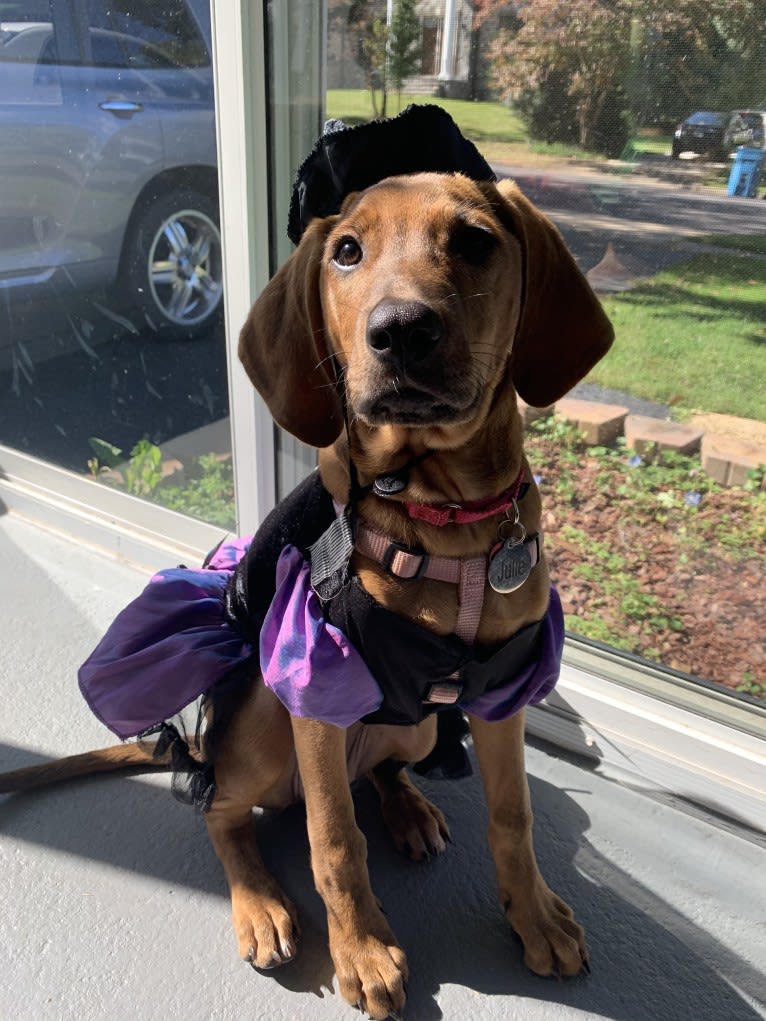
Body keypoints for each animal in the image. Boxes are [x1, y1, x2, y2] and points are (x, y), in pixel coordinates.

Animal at [0, 109, 612, 1021]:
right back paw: (260, 901)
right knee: (224, 807)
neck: (444, 520)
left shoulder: (503, 689)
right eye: (347, 251)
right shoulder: (314, 690)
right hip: (261, 721)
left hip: (417, 724)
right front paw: (361, 948)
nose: (400, 330)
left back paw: (408, 805)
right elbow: (333, 840)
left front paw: (532, 915)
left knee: (379, 772)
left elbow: (514, 818)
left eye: (474, 241)